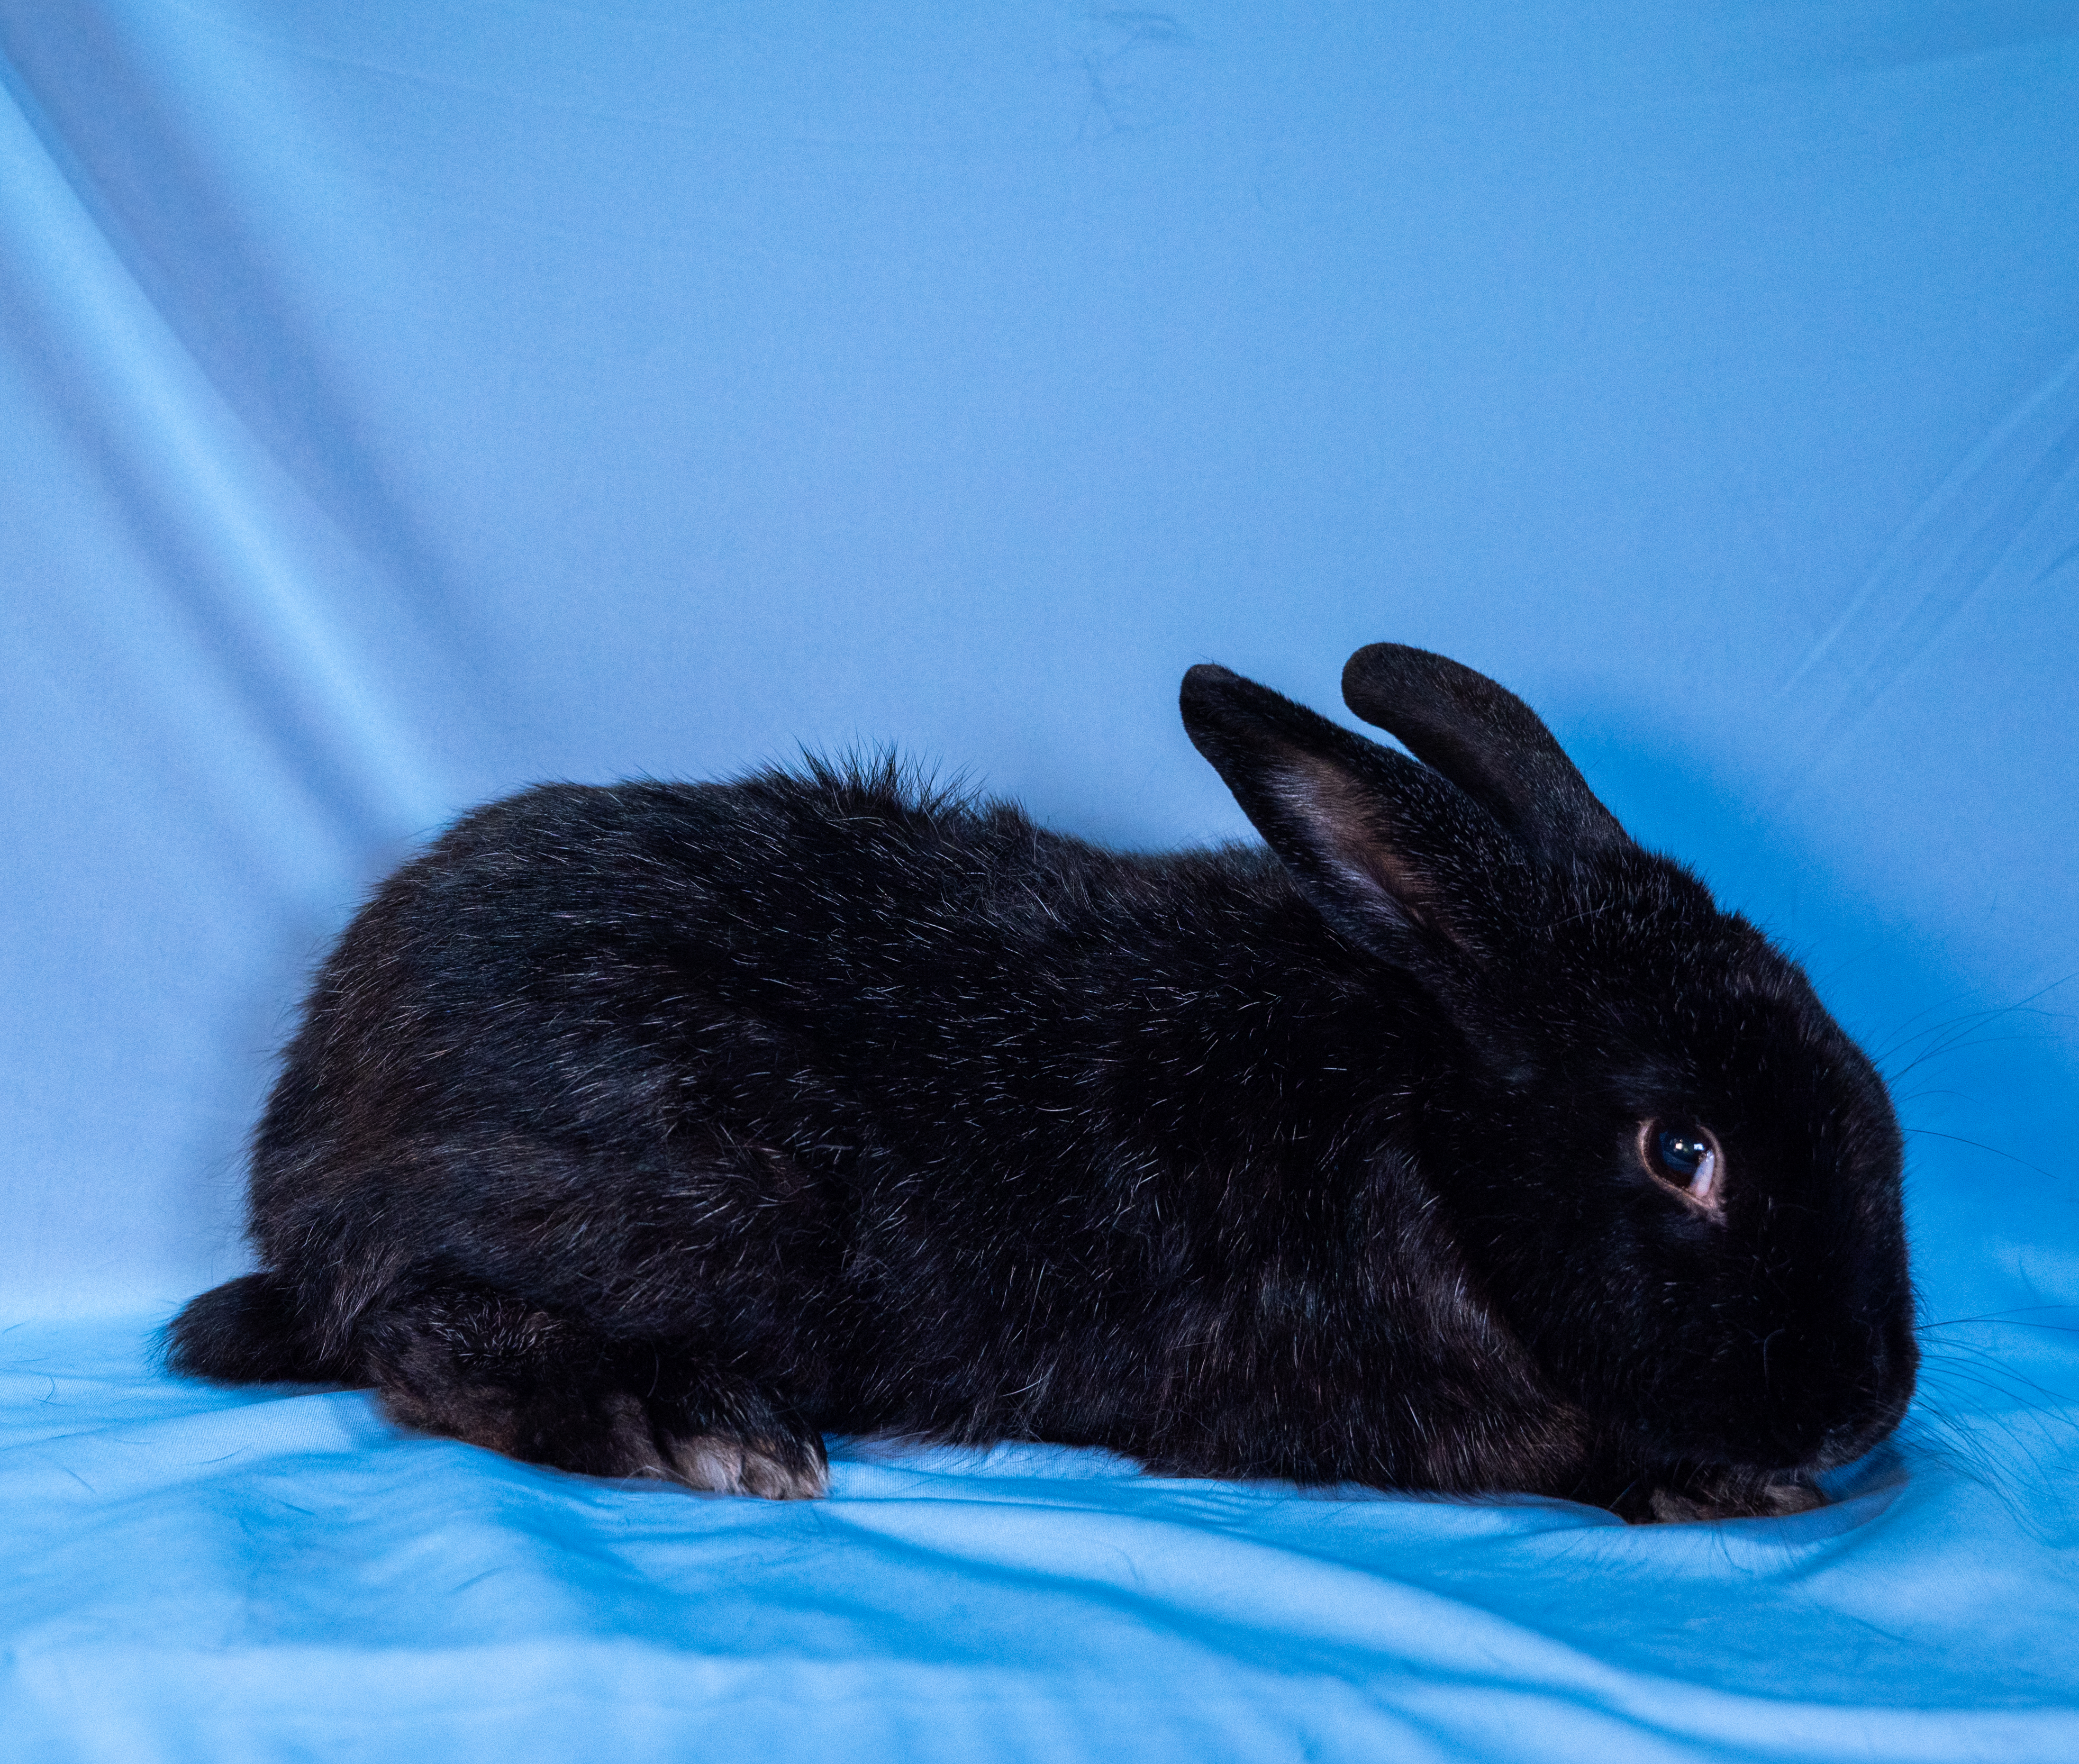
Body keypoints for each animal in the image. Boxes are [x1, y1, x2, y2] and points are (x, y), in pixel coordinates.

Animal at [168, 643, 1917, 1522]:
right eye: (1679, 1148)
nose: (1872, 1398)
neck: (1425, 1124)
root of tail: (302, 1135)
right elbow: (1556, 1451)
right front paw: (1734, 1476)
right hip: (711, 1204)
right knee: (408, 1330)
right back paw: (694, 1426)